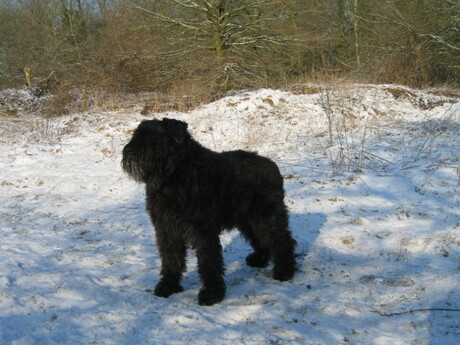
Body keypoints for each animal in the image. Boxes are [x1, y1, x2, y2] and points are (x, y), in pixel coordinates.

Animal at [122, 117, 294, 304]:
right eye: (136, 134)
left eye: (153, 136)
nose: (129, 150)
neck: (176, 173)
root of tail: (273, 167)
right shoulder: (166, 228)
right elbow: (171, 258)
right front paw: (168, 286)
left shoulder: (202, 230)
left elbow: (208, 261)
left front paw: (212, 293)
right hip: (248, 221)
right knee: (261, 239)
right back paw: (259, 259)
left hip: (266, 217)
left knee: (282, 240)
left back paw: (285, 271)